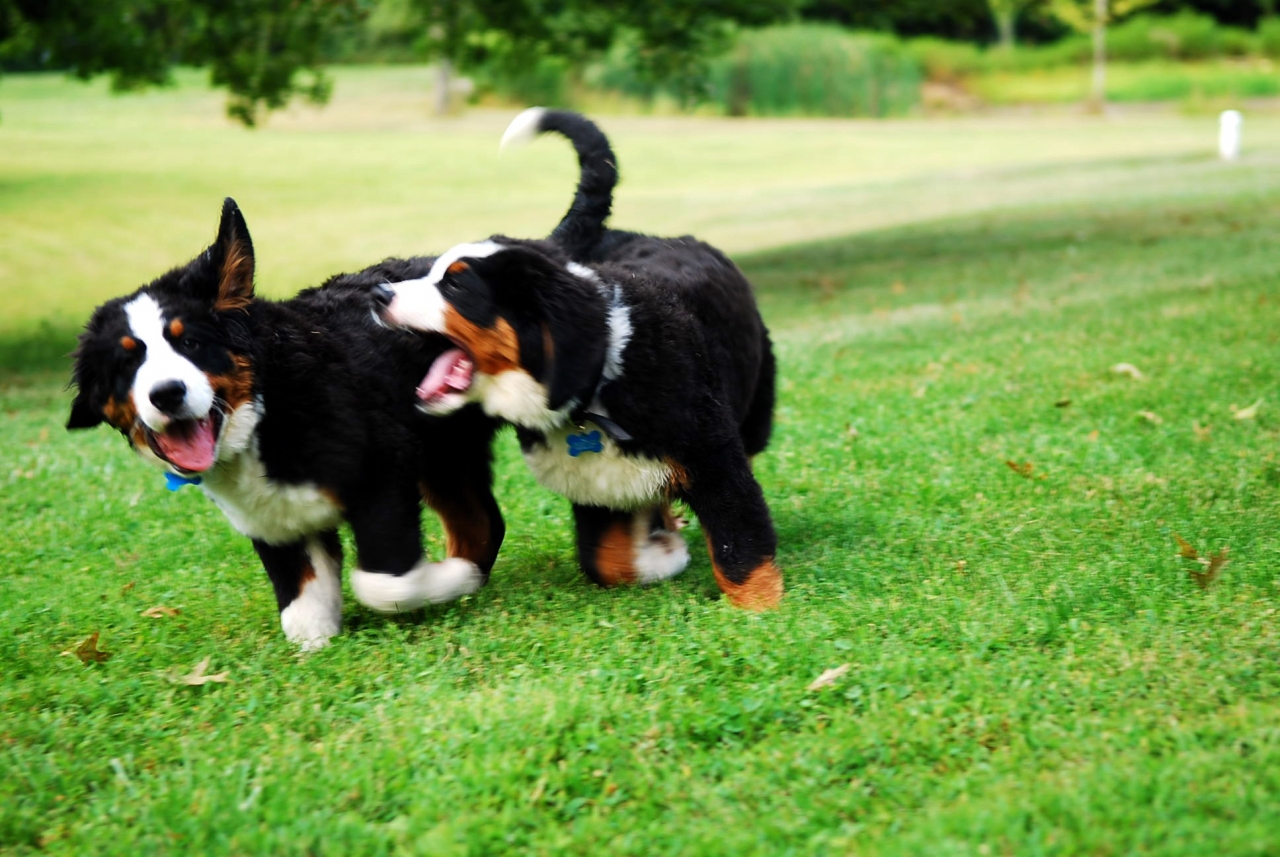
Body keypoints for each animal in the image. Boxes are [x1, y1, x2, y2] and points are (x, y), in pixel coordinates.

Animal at [67, 203, 501, 652]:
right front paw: (318, 645)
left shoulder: (383, 473)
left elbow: (385, 585)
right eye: (126, 363)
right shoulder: (276, 520)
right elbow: (302, 608)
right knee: (481, 522)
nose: (167, 393)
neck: (266, 411)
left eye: (189, 343)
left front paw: (446, 579)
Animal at [371, 110, 778, 611]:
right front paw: (663, 554)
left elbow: (742, 552)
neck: (602, 380)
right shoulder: (597, 488)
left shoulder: (716, 464)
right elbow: (607, 562)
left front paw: (764, 614)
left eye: (456, 285)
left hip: (753, 412)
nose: (379, 294)